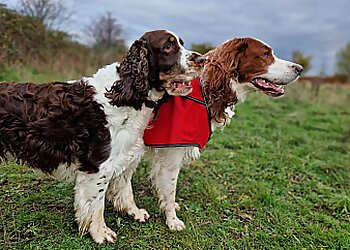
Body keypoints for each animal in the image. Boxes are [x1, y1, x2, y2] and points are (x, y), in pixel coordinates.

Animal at [121, 37, 302, 230]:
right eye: (265, 54)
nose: (300, 69)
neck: (206, 89)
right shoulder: (172, 155)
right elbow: (170, 189)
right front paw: (172, 220)